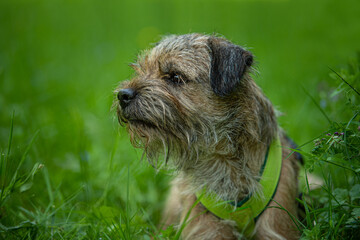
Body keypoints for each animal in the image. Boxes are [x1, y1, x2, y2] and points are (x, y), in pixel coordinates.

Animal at [114, 34, 300, 240]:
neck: (223, 158)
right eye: (142, 70)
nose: (123, 95)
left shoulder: (277, 225)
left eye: (175, 77)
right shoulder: (205, 228)